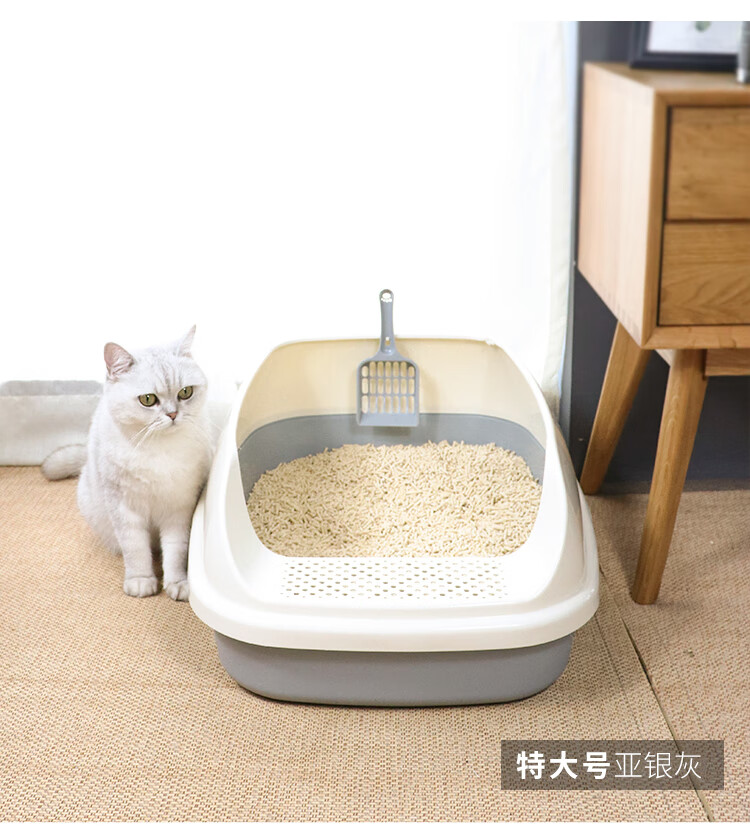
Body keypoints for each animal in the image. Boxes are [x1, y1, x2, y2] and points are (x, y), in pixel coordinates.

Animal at [42, 326, 214, 600]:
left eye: (185, 393)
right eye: (148, 399)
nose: (173, 414)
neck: (159, 451)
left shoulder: (179, 508)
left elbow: (176, 550)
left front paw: (178, 583)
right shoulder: (124, 507)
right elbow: (136, 549)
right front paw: (141, 581)